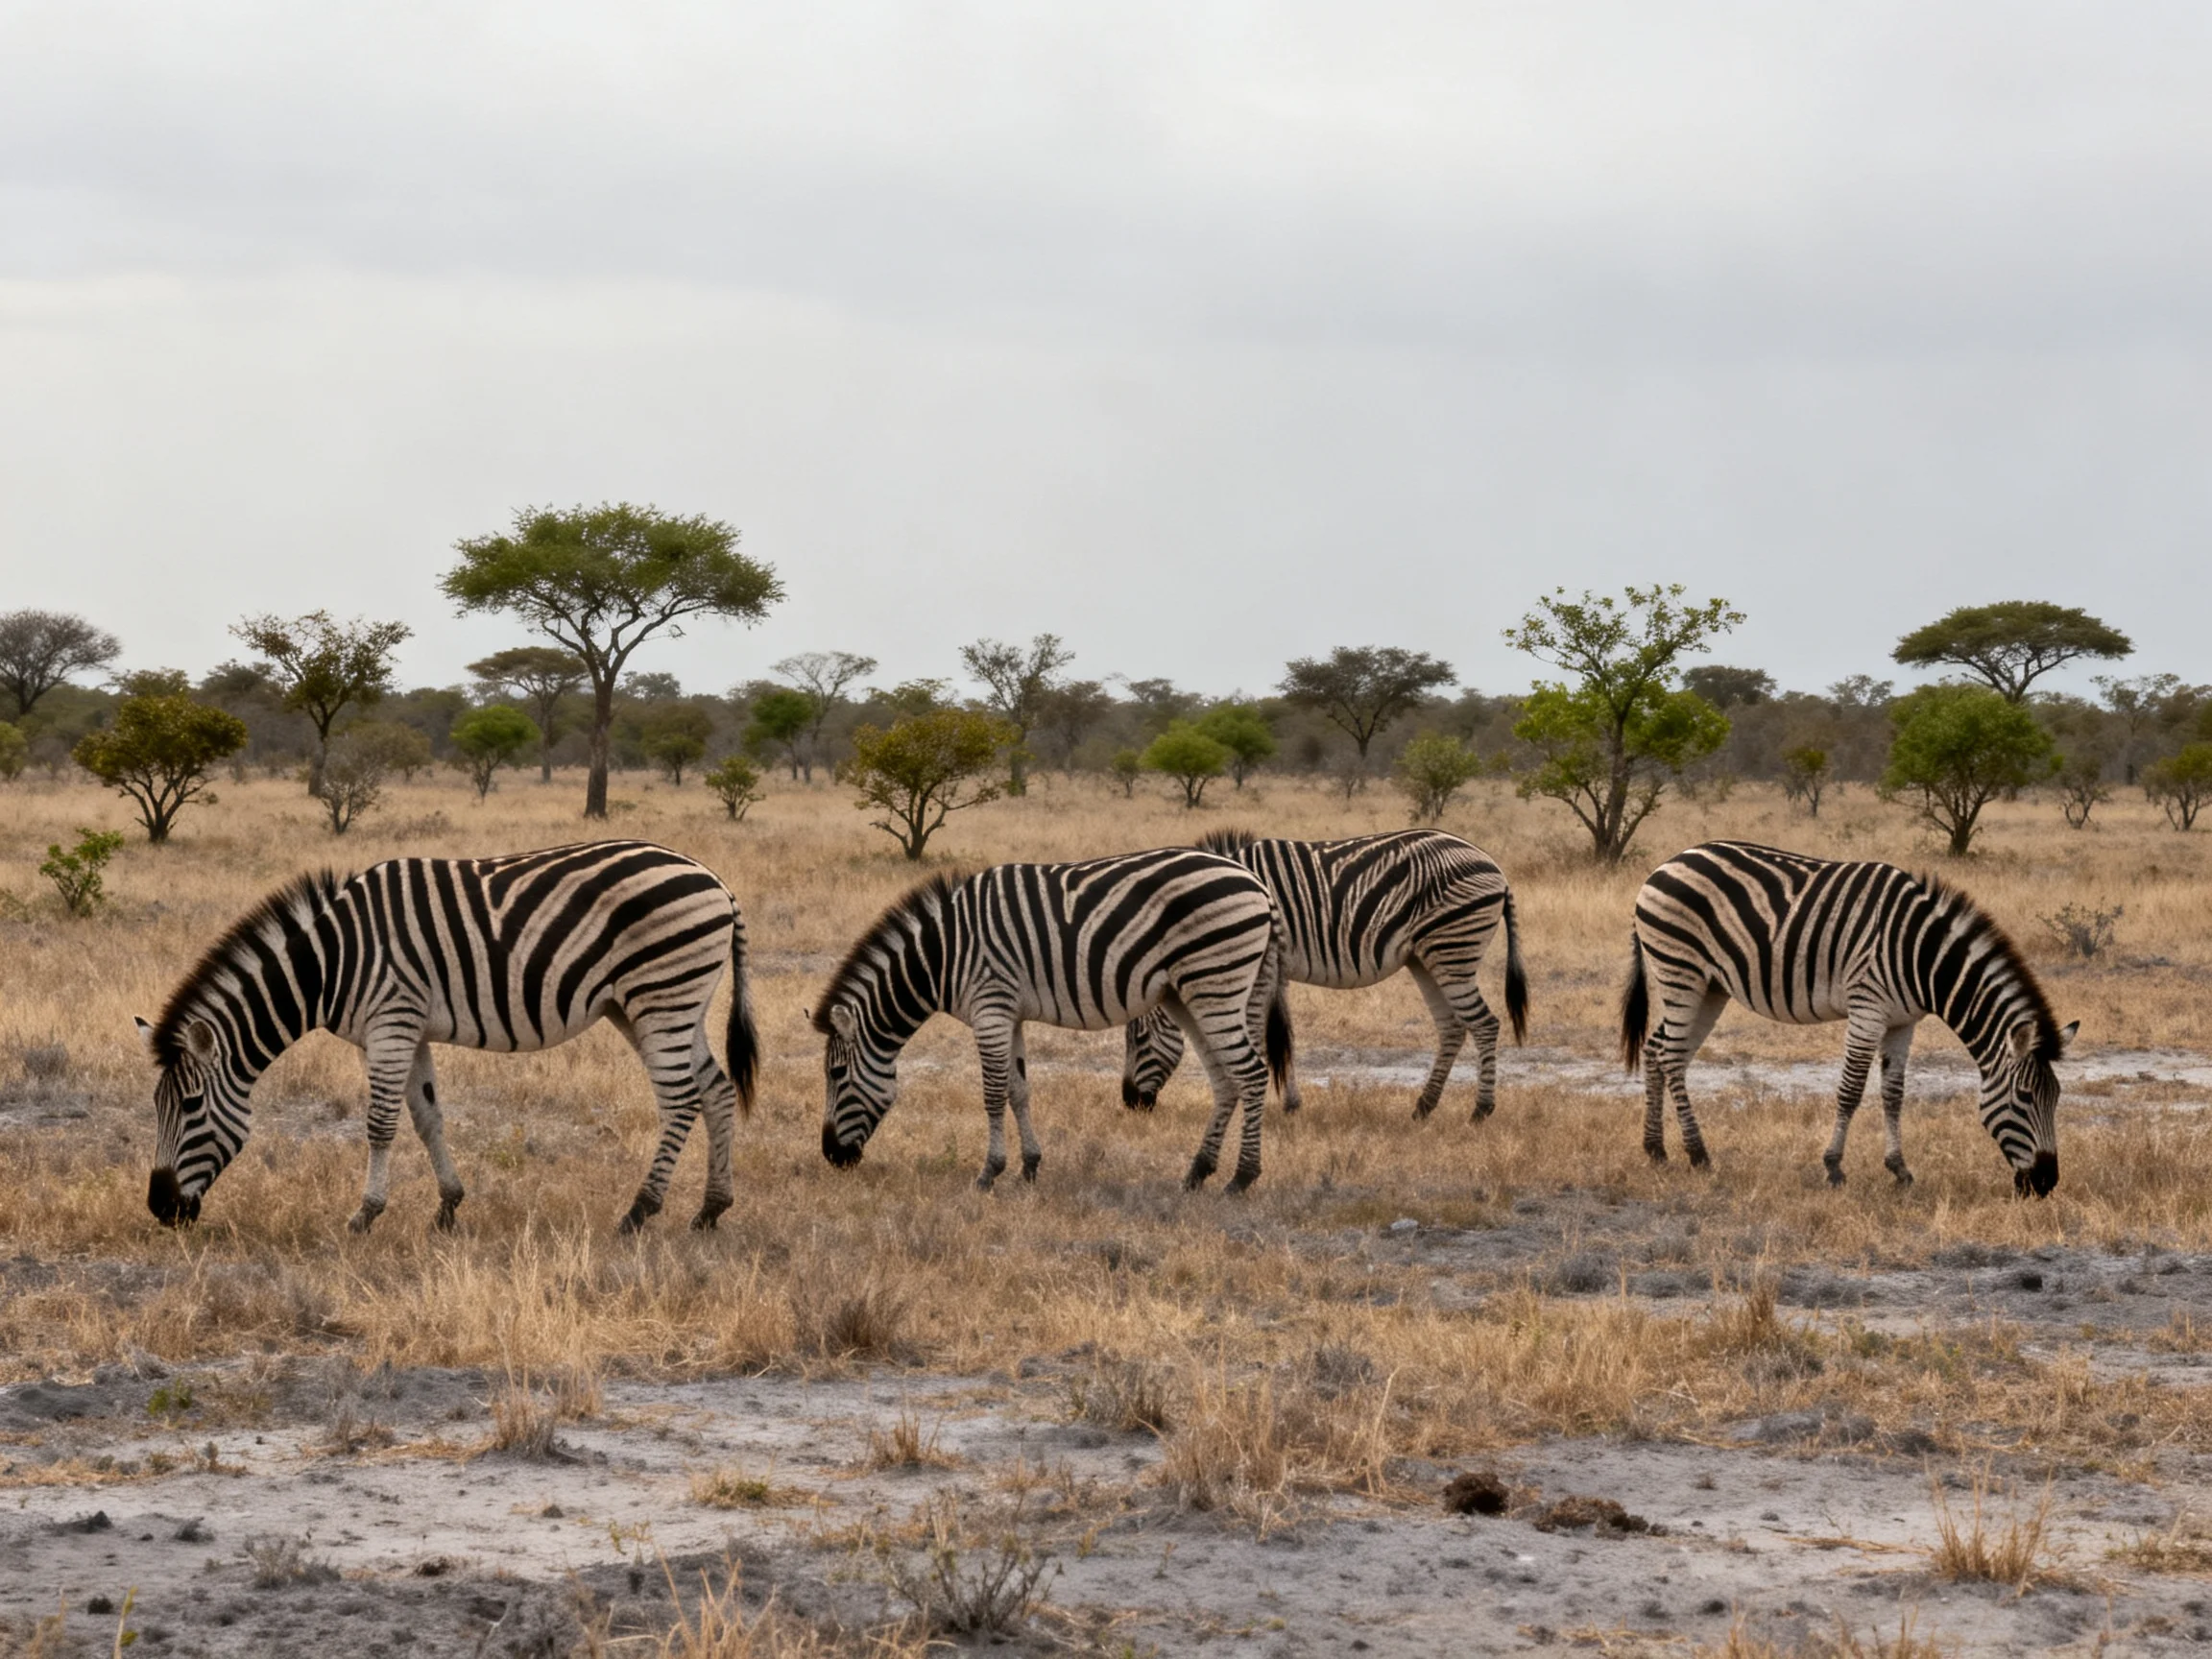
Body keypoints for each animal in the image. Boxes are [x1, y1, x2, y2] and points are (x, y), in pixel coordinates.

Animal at [135, 841, 757, 1234]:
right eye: (157, 1107)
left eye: (191, 1107)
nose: (161, 1209)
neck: (330, 963)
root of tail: (717, 881)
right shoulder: (406, 1029)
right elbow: (427, 1116)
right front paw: (449, 1208)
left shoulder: (390, 1022)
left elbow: (380, 1124)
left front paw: (365, 1215)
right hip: (652, 1004)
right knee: (716, 1089)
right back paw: (711, 1210)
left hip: (660, 995)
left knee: (680, 1099)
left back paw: (638, 1212)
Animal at [815, 847, 1290, 1192]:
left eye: (836, 1074)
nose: (831, 1156)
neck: (942, 956)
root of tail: (1257, 885)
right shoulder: (1009, 1014)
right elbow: (1018, 1091)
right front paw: (1029, 1167)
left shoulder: (990, 1007)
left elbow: (992, 1094)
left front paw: (988, 1174)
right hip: (1187, 995)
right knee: (1225, 1078)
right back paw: (1197, 1172)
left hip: (1214, 984)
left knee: (1250, 1072)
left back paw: (1242, 1177)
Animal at [1121, 829, 1528, 1121]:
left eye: (1138, 1039)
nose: (1130, 1103)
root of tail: (1492, 864)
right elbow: (1279, 1033)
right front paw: (1287, 1103)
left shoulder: (1258, 965)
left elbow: (1260, 1031)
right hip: (1427, 958)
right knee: (1454, 1027)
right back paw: (1424, 1107)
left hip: (1453, 948)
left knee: (1485, 1023)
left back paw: (1481, 1110)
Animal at [1620, 840, 2075, 1195]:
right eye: (2024, 1098)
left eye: (2056, 1099)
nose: (2046, 1183)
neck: (1922, 956)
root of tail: (1667, 863)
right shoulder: (1867, 1007)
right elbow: (1852, 1089)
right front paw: (1834, 1167)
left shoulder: (1903, 1021)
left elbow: (1893, 1093)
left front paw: (1900, 1170)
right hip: (1681, 970)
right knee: (1672, 1055)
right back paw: (1698, 1154)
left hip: (1711, 986)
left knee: (1658, 1048)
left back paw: (1656, 1149)